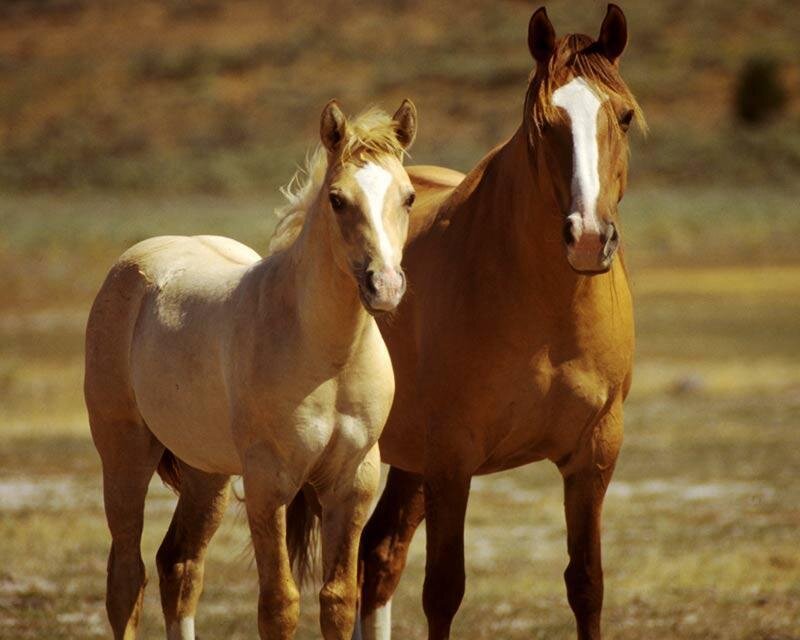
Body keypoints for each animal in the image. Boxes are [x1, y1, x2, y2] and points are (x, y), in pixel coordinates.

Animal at [84, 99, 418, 640]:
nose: (384, 286)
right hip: (125, 455)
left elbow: (339, 601)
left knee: (179, 566)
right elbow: (279, 605)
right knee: (126, 577)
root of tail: (134, 262)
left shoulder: (353, 483)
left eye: (408, 197)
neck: (327, 357)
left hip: (206, 472)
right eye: (337, 199)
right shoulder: (269, 484)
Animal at [356, 6, 644, 640]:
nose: (589, 239)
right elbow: (444, 590)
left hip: (407, 462)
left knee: (379, 554)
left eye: (625, 116)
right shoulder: (452, 458)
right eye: (542, 123)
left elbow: (587, 584)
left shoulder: (593, 455)